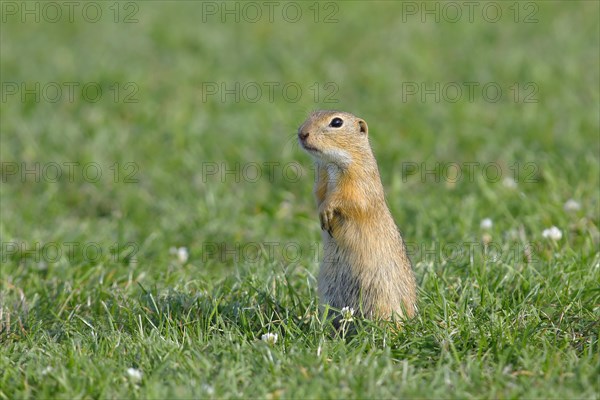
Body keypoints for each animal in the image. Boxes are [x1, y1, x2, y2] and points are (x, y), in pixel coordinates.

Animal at [298, 109, 418, 324]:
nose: (302, 133)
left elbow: (348, 199)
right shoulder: (321, 183)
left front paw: (326, 211)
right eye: (311, 114)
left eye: (337, 122)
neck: (331, 164)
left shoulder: (358, 182)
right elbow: (319, 197)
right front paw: (321, 215)